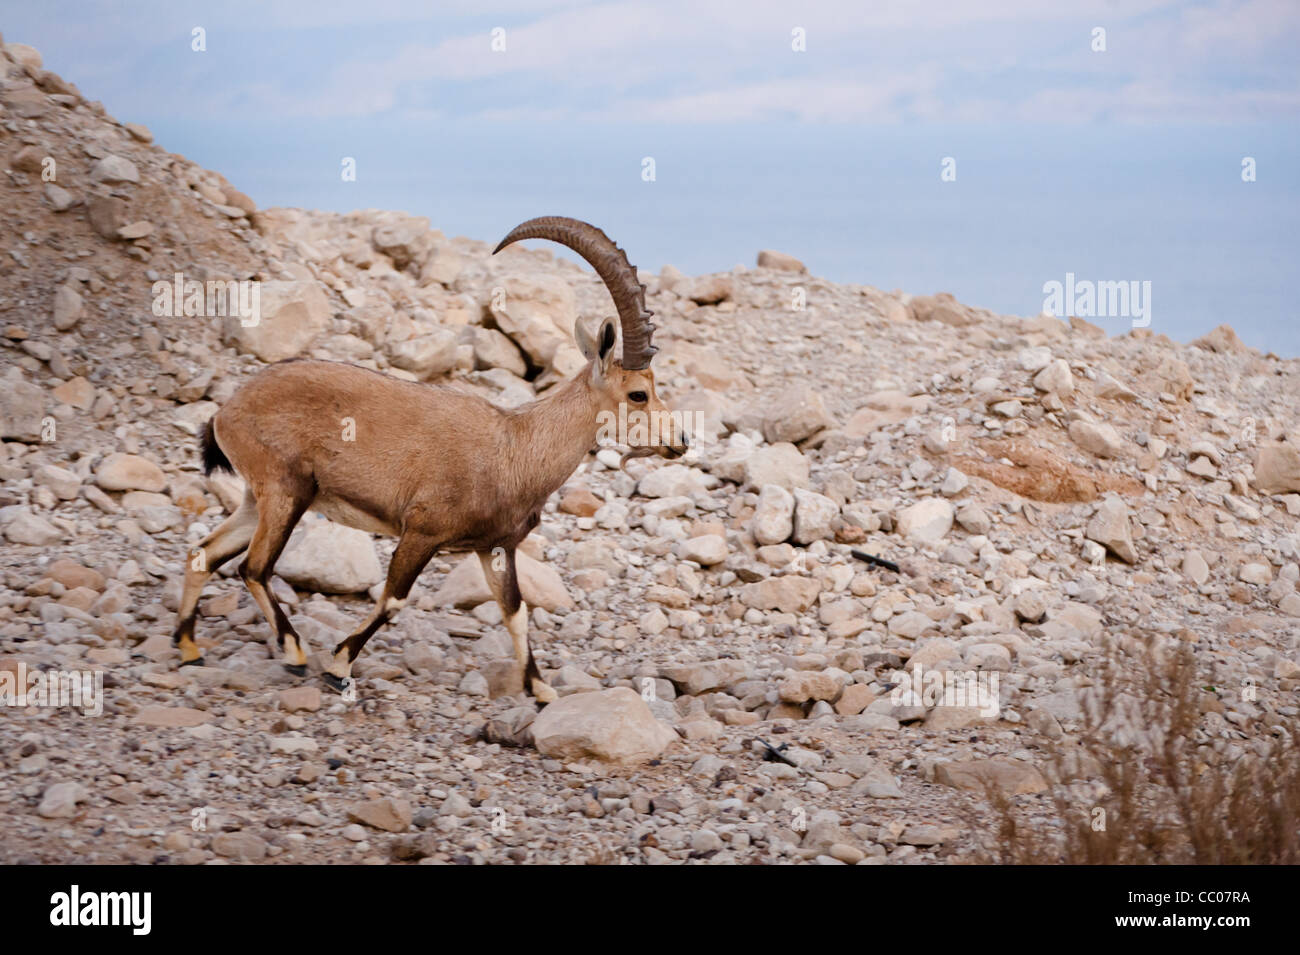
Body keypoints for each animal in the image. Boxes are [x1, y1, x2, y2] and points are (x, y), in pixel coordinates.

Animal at [171, 216, 688, 703]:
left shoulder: (496, 547)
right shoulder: (421, 532)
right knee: (254, 567)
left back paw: (189, 648)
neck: (515, 449)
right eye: (638, 393)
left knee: (204, 553)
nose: (680, 440)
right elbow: (394, 600)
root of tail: (227, 410)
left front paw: (541, 690)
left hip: (258, 498)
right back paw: (294, 652)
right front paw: (338, 667)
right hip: (287, 491)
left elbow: (515, 612)